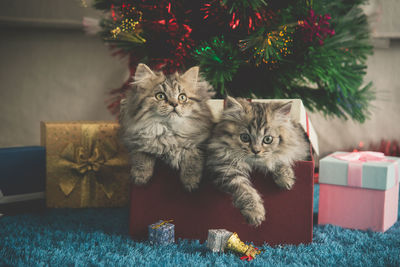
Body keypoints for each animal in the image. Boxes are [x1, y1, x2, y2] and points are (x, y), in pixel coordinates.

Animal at [119, 63, 216, 192]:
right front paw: (140, 176)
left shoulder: (202, 142)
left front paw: (190, 180)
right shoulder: (132, 140)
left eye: (182, 97)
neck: (169, 131)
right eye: (160, 96)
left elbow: (193, 154)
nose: (174, 104)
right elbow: (141, 154)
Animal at [206, 97, 310, 227]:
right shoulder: (226, 168)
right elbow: (245, 190)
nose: (256, 151)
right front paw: (255, 213)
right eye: (245, 137)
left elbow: (278, 158)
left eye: (267, 139)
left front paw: (286, 180)